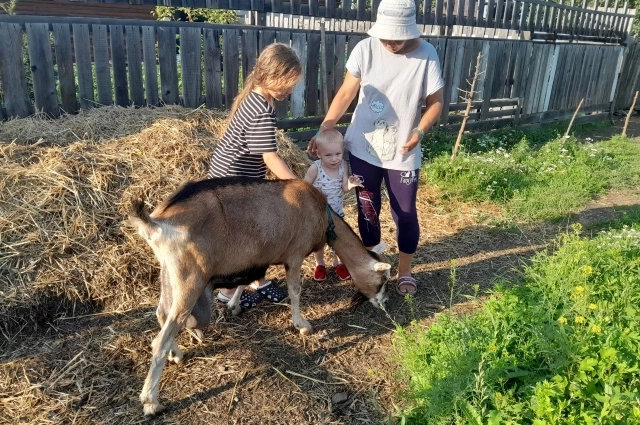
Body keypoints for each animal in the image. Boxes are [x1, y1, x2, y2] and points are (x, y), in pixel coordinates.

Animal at [129, 176, 390, 414]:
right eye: (383, 280)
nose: (384, 303)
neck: (322, 215)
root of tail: (157, 222)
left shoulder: (255, 258)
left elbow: (246, 282)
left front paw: (234, 305)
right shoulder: (294, 255)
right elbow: (295, 291)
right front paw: (302, 326)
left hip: (169, 272)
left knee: (162, 314)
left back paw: (176, 354)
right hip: (190, 277)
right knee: (162, 336)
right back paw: (152, 402)